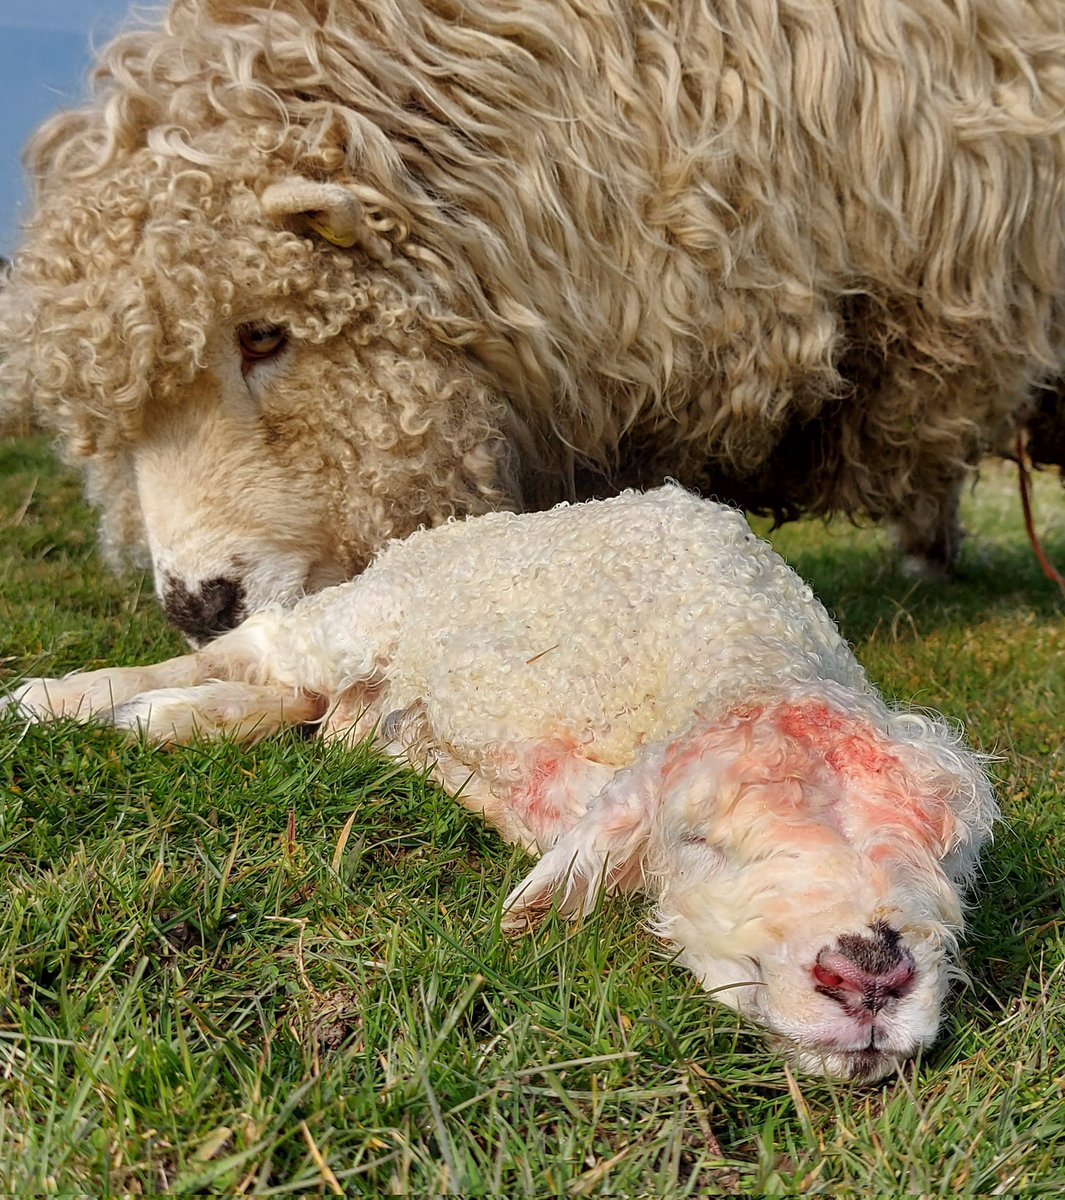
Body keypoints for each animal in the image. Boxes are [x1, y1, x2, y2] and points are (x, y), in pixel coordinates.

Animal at [10, 485, 998, 1081]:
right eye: (700, 841)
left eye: (946, 861)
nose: (870, 975)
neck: (739, 647)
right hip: (365, 615)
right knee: (262, 650)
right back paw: (78, 700)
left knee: (295, 693)